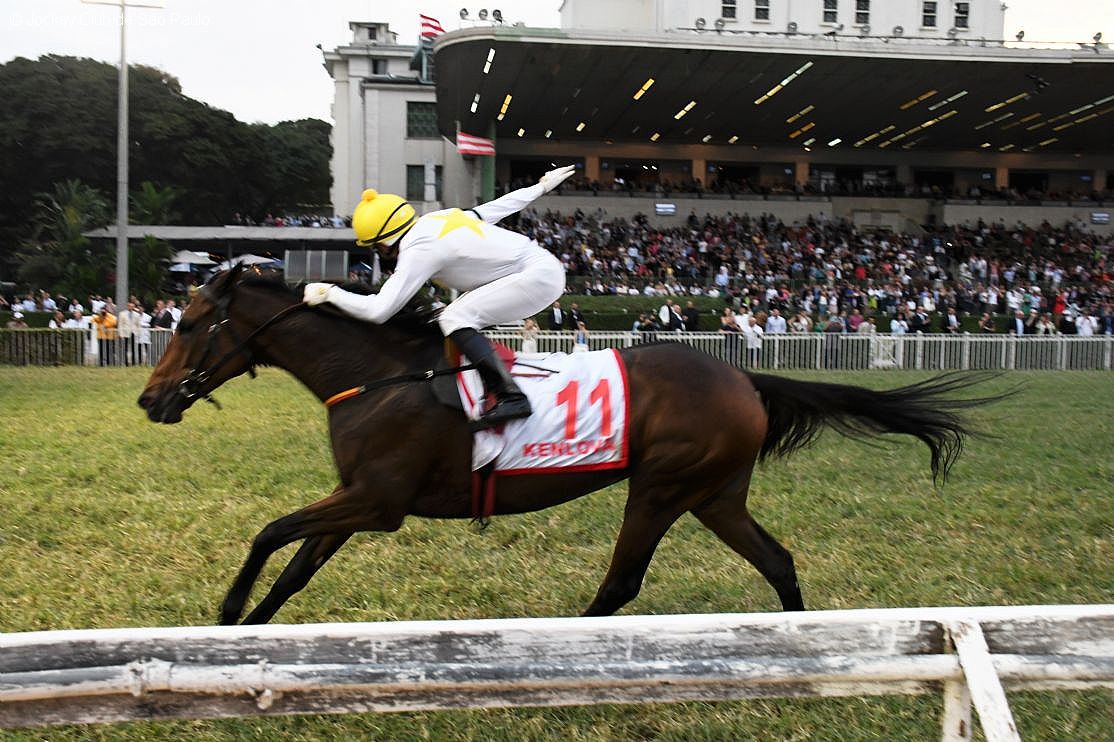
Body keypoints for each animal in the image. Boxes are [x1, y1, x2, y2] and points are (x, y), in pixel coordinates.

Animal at [137, 266, 993, 623]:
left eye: (188, 324)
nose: (150, 399)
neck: (378, 374)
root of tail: (744, 375)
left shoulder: (376, 501)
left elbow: (268, 533)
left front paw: (226, 612)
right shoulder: (359, 499)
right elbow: (293, 570)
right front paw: (248, 633)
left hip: (661, 486)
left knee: (621, 584)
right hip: (715, 493)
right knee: (778, 560)